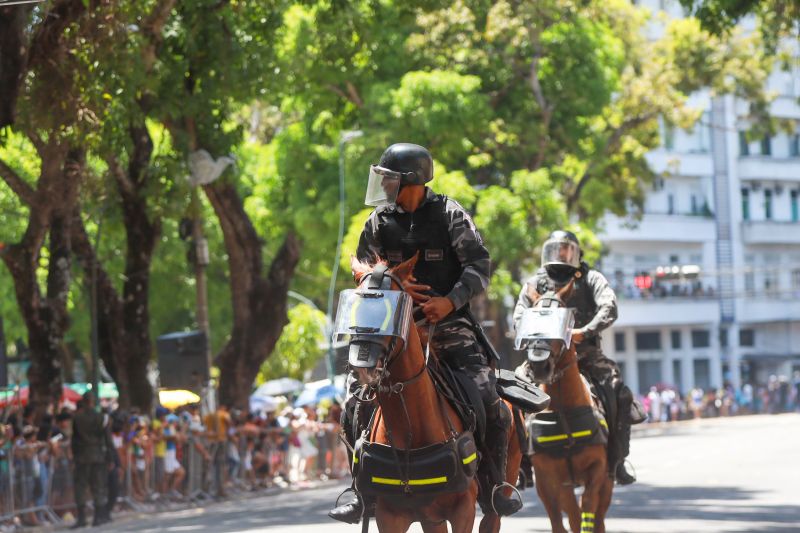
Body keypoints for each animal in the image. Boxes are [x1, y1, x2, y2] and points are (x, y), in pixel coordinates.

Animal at [350, 255, 524, 532]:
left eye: (393, 311)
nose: (362, 367)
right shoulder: (390, 516)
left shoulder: (463, 511)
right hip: (431, 517)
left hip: (494, 500)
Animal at [524, 280, 612, 528]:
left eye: (561, 322)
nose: (538, 365)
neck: (563, 411)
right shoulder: (547, 480)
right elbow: (560, 519)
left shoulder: (598, 470)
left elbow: (588, 507)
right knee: (572, 513)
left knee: (597, 516)